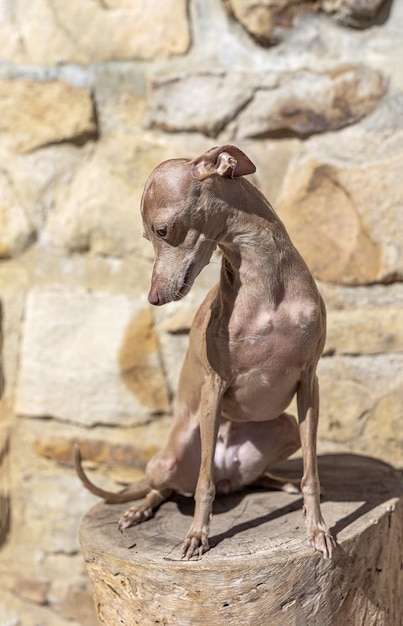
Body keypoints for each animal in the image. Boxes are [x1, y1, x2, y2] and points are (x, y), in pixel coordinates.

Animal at [74, 145, 336, 556]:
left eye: (161, 230)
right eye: (147, 237)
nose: (153, 298)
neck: (266, 285)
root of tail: (229, 468)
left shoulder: (309, 382)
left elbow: (312, 474)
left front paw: (317, 528)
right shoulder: (215, 386)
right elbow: (203, 485)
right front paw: (197, 534)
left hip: (288, 428)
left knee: (246, 479)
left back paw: (279, 483)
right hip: (167, 460)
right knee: (169, 487)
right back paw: (139, 509)